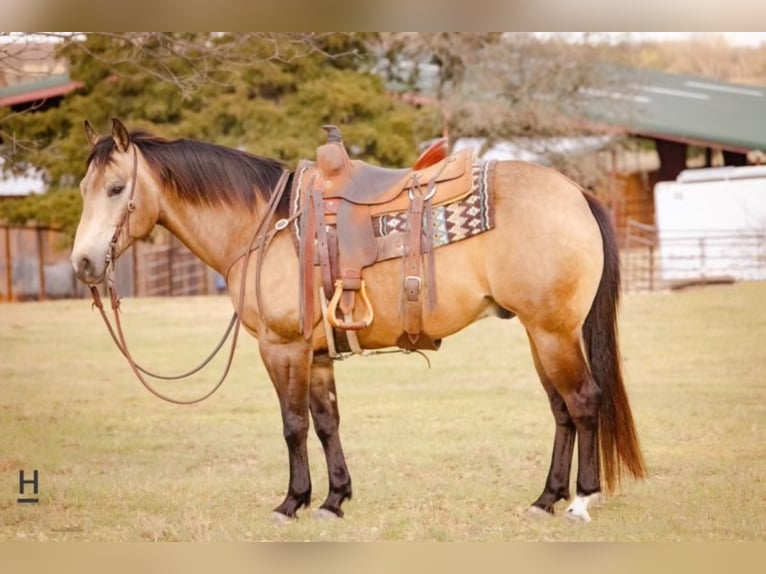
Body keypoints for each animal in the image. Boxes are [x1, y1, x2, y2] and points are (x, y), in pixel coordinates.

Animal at [73, 119, 648, 524]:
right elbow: (327, 422)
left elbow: (293, 424)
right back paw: (545, 498)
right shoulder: (318, 354)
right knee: (561, 411)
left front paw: (292, 502)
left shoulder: (282, 347)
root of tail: (576, 193)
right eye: (83, 188)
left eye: (117, 188)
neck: (264, 225)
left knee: (584, 402)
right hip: (540, 333)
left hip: (553, 332)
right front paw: (334, 499)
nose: (83, 263)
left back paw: (580, 500)